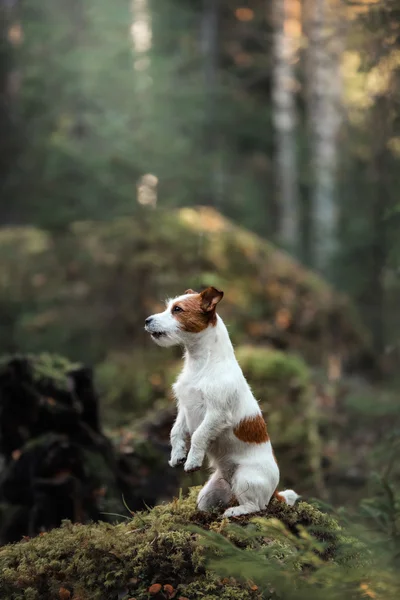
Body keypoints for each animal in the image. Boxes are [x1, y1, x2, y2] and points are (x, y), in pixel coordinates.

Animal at [145, 286, 298, 516]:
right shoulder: (184, 408)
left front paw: (192, 460)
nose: (147, 320)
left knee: (255, 506)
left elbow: (199, 435)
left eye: (177, 309)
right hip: (210, 493)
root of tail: (274, 491)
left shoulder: (217, 414)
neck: (201, 363)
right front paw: (177, 454)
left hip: (246, 478)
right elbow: (175, 431)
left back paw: (235, 511)